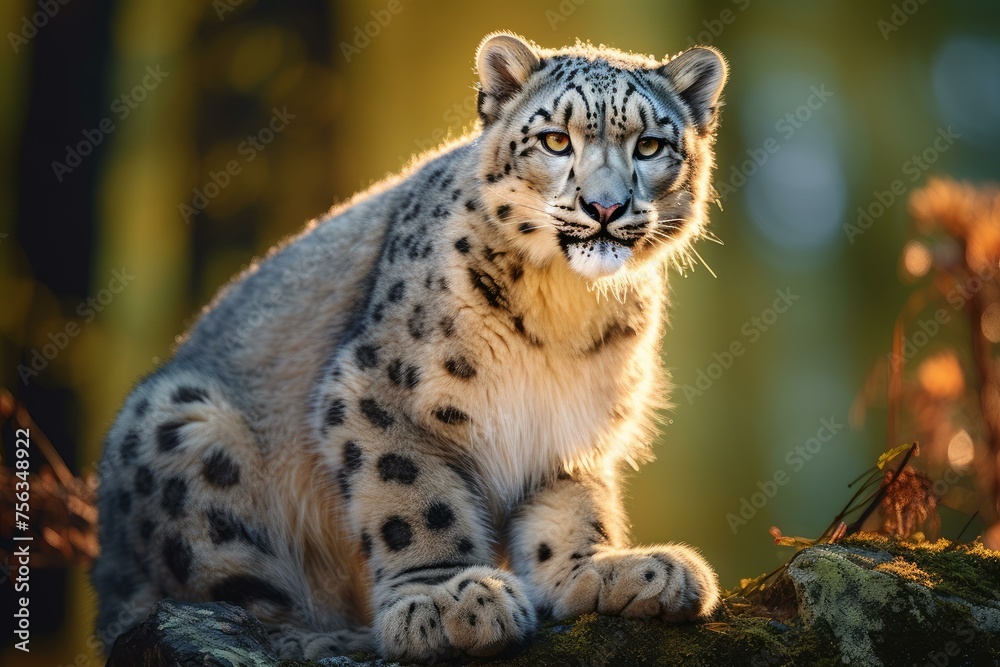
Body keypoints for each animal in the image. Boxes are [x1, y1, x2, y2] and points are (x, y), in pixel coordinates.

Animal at [91, 31, 729, 662]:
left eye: (649, 146)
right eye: (555, 139)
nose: (605, 207)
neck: (566, 310)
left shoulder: (567, 429)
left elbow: (572, 509)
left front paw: (599, 569)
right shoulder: (376, 391)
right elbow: (413, 495)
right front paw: (447, 599)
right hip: (181, 423)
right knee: (222, 594)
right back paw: (320, 636)